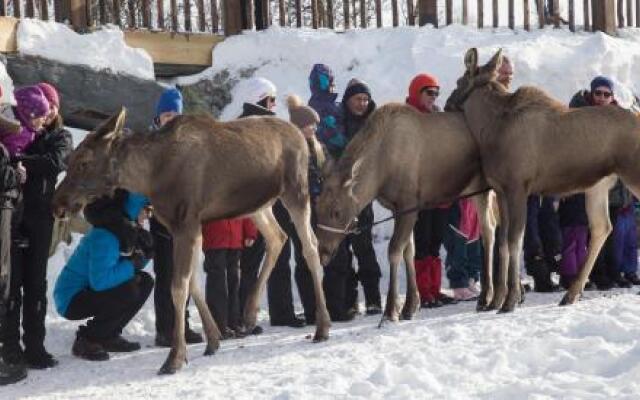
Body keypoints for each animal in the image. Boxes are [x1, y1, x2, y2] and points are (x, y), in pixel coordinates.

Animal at [53, 108, 332, 374]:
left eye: (84, 162)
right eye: (70, 159)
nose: (58, 202)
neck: (150, 177)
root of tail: (301, 136)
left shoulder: (186, 224)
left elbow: (179, 287)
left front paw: (175, 357)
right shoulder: (189, 228)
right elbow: (193, 283)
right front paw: (213, 340)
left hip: (296, 191)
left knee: (311, 248)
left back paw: (322, 326)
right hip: (257, 205)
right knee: (278, 237)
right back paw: (250, 313)